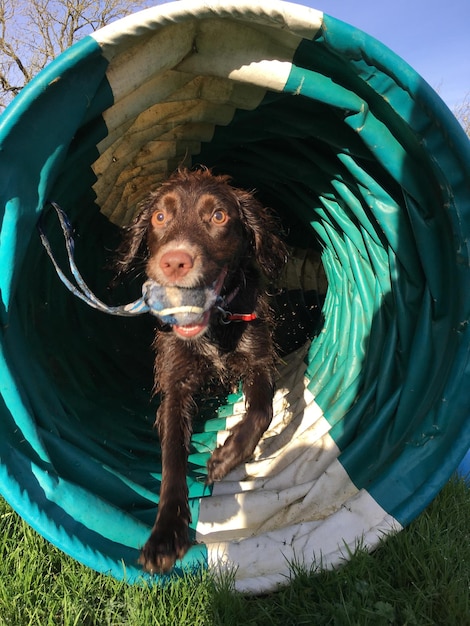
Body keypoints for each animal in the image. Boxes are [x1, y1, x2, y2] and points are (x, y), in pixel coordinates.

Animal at [116, 166, 288, 572]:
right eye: (159, 217)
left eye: (219, 216)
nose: (174, 261)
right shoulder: (175, 385)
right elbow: (172, 456)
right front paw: (165, 535)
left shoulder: (258, 359)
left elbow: (262, 410)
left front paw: (226, 458)